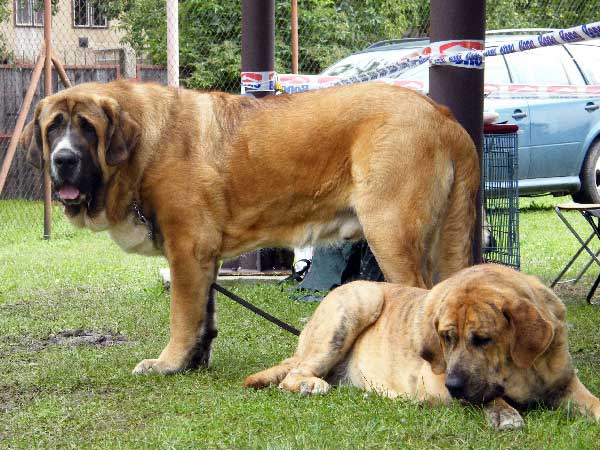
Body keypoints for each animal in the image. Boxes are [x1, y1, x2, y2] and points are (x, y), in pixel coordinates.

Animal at [17, 79, 478, 374]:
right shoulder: (202, 257)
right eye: (54, 127)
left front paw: (167, 363)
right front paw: (193, 363)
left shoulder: (186, 250)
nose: (62, 159)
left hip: (391, 234)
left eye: (87, 128)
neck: (146, 147)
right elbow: (202, 313)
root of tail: (443, 115)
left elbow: (181, 315)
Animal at [244, 266, 600, 430]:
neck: (519, 372)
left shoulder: (565, 383)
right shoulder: (435, 381)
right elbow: (485, 397)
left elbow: (594, 403)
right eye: (446, 338)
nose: (453, 384)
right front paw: (504, 412)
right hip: (360, 302)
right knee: (292, 376)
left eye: (483, 339)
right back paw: (311, 385)